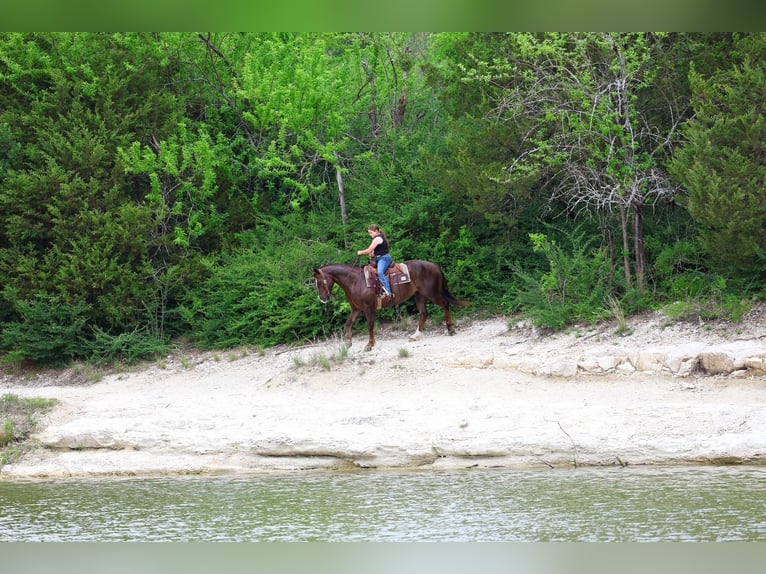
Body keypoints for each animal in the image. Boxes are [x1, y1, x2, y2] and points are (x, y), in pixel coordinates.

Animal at [313, 260, 471, 351]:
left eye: (320, 282)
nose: (323, 299)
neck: (355, 281)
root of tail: (434, 265)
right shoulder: (357, 309)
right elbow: (348, 323)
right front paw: (348, 342)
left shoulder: (369, 308)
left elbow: (370, 325)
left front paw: (369, 345)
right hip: (419, 295)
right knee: (424, 313)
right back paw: (416, 335)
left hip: (432, 293)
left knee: (444, 304)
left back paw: (450, 329)